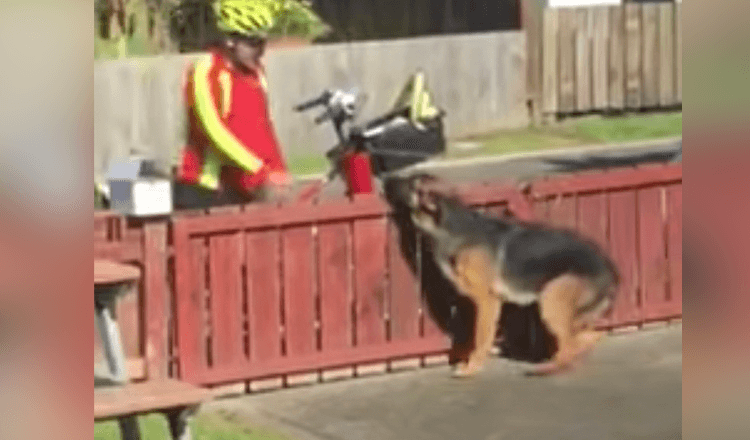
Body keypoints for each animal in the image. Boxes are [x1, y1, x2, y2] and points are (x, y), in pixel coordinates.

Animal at [384, 174, 620, 376]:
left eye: (413, 183)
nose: (386, 177)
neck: (451, 223)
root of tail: (610, 270)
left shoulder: (487, 301)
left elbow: (480, 338)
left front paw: (472, 367)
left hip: (551, 299)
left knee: (571, 344)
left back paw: (549, 368)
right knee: (586, 337)